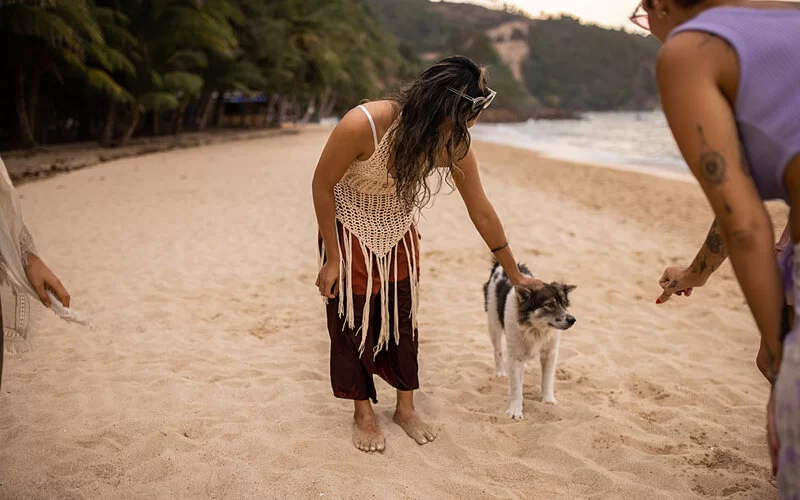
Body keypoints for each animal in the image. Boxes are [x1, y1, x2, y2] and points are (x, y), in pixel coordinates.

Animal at [482, 260, 576, 420]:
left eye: (564, 303)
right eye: (549, 305)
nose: (572, 320)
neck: (535, 329)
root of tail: (499, 266)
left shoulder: (550, 353)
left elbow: (547, 379)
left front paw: (548, 400)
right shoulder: (514, 356)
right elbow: (516, 388)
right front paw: (515, 410)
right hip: (493, 323)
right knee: (497, 350)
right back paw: (500, 372)